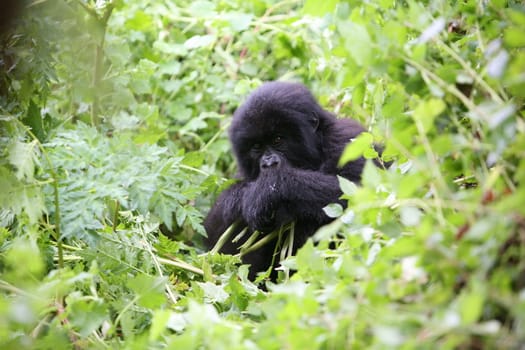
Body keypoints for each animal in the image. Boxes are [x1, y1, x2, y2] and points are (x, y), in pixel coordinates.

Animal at [204, 80, 368, 280]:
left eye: (277, 140)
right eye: (257, 146)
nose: (268, 163)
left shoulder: (349, 139)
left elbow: (362, 193)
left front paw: (266, 191)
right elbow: (214, 228)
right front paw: (247, 198)